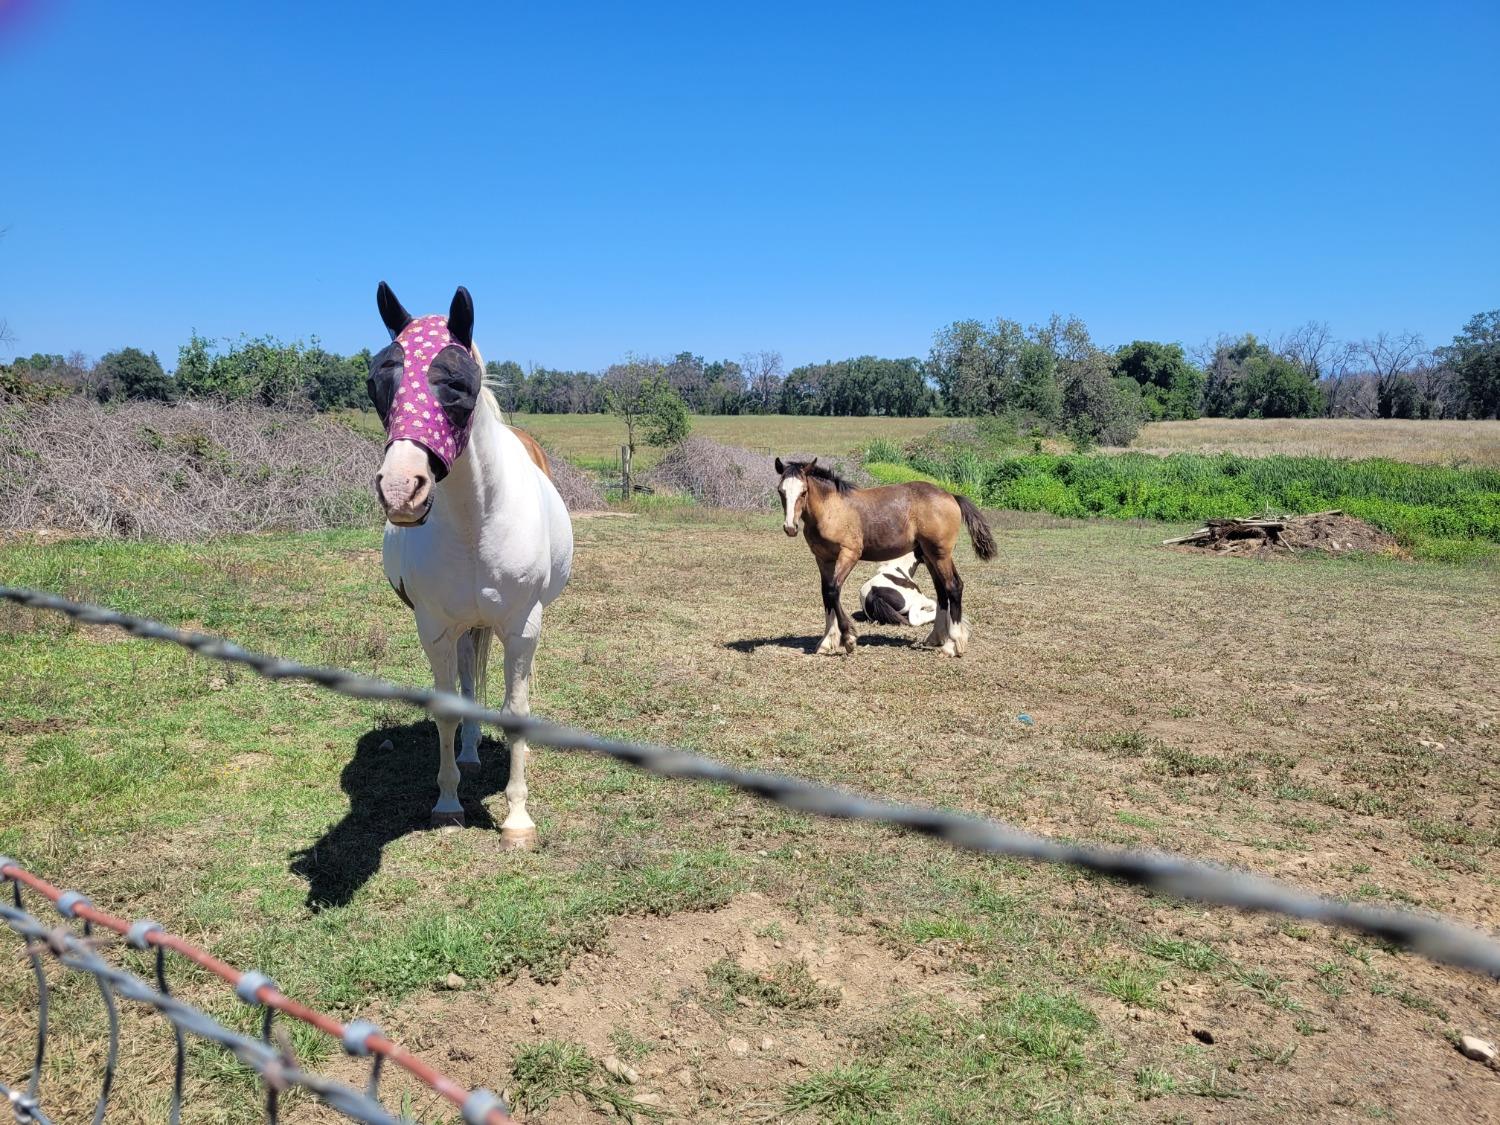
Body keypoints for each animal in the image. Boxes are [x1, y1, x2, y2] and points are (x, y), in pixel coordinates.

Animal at [366, 282, 570, 846]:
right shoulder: (435, 627)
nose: (401, 489)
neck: (476, 521)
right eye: (375, 382)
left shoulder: (522, 627)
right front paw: (448, 802)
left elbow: (517, 710)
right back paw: (472, 753)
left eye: (458, 382)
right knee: (468, 684)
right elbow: (449, 707)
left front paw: (517, 820)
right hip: (465, 628)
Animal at [774, 456, 996, 657]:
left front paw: (848, 639)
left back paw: (951, 646)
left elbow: (833, 590)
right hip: (929, 555)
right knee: (942, 592)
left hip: (940, 553)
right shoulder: (823, 559)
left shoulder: (849, 554)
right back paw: (935, 638)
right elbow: (826, 594)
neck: (832, 509)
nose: (790, 527)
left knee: (954, 587)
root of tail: (951, 495)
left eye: (803, 491)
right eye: (781, 491)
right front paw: (827, 642)